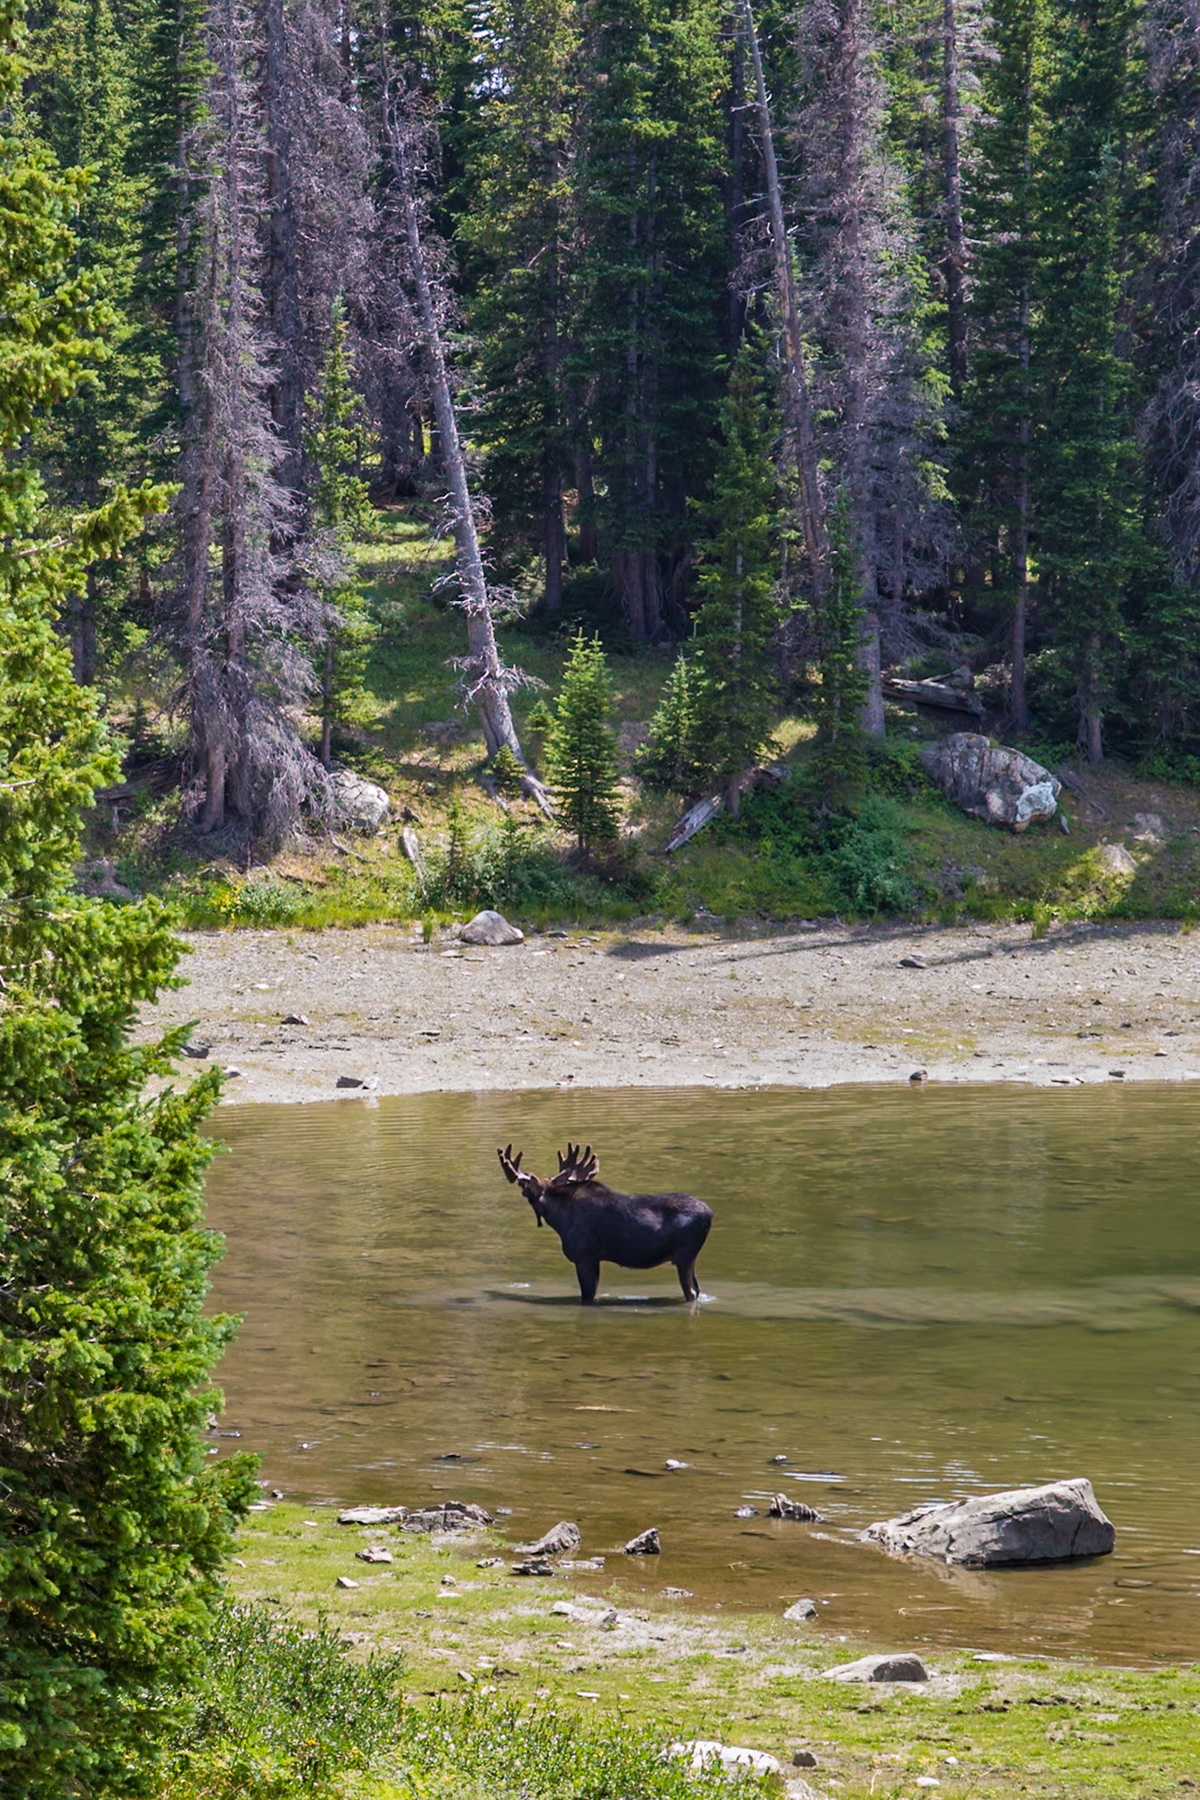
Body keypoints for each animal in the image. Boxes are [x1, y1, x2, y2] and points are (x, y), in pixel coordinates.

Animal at [496, 1142, 713, 1305]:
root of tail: (709, 1214)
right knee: (697, 1289)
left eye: (526, 1193)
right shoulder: (595, 1258)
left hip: (684, 1255)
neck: (560, 1219)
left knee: (691, 1292)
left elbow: (587, 1297)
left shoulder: (584, 1256)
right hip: (690, 1257)